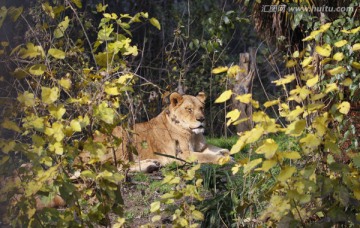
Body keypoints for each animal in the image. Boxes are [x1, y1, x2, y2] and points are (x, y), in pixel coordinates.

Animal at [91, 91, 229, 172]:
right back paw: (150, 166)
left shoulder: (202, 146)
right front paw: (224, 159)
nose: (201, 119)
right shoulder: (181, 154)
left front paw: (224, 152)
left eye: (201, 108)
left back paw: (152, 164)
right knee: (119, 167)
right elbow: (207, 156)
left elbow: (219, 149)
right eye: (189, 109)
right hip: (121, 136)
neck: (193, 134)